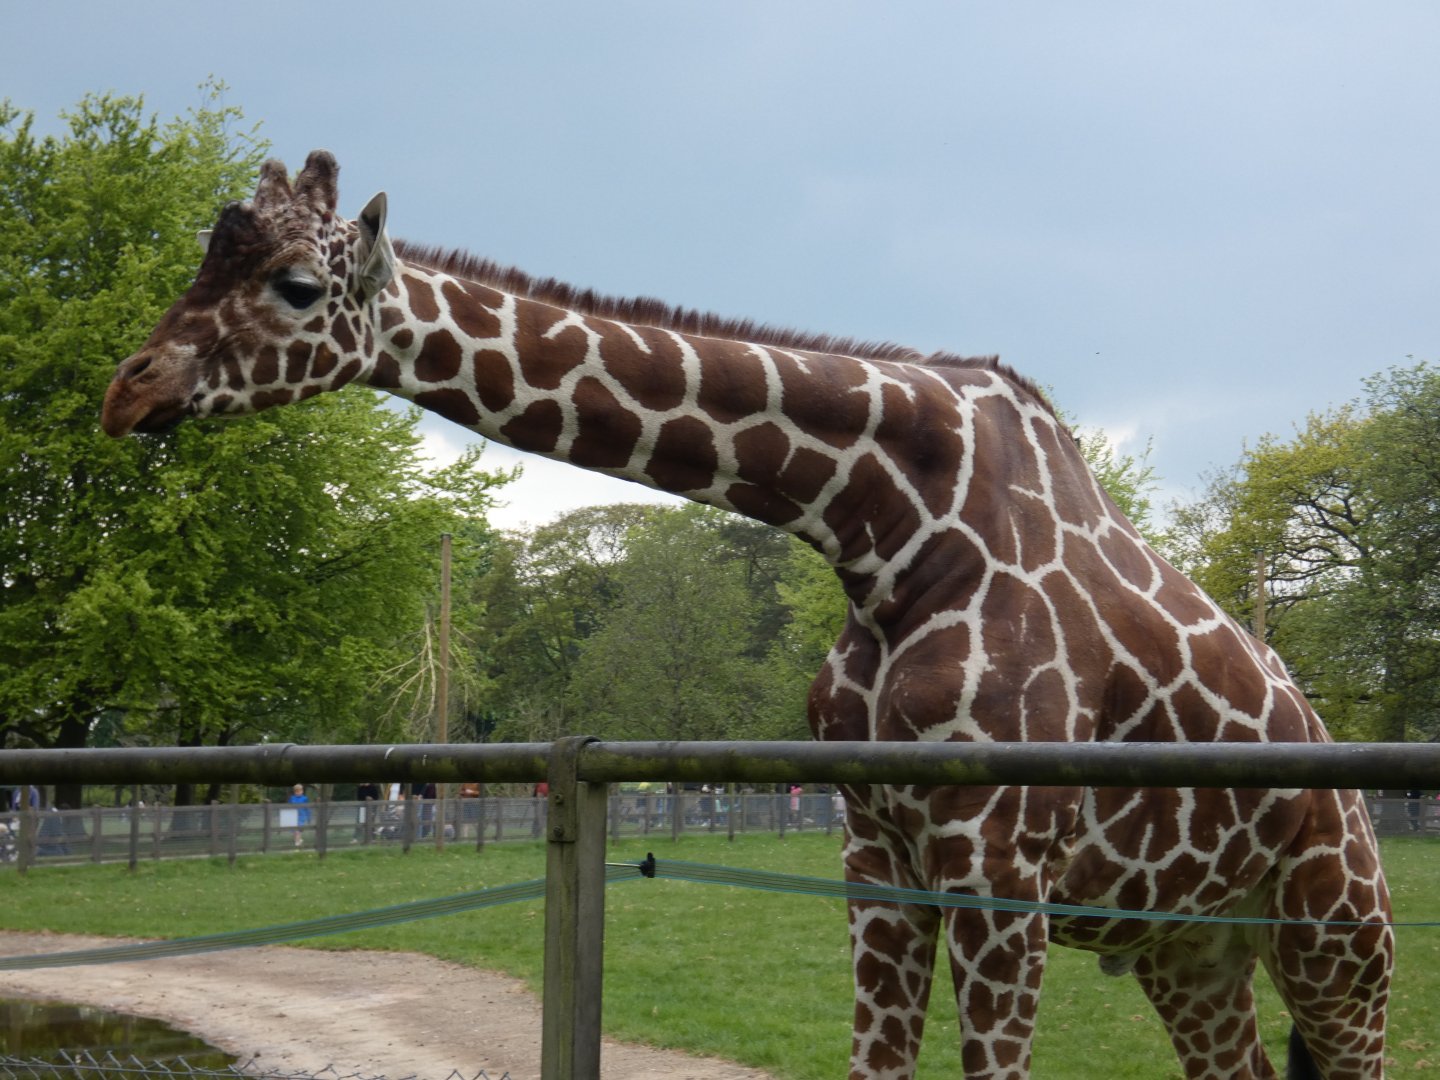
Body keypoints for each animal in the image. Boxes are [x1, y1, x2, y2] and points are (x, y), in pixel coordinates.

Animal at [101, 152, 1392, 1079]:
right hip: (1192, 950)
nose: (129, 389)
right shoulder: (879, 852)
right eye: (203, 261)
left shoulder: (998, 865)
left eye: (296, 287)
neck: (890, 531)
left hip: (1341, 942)